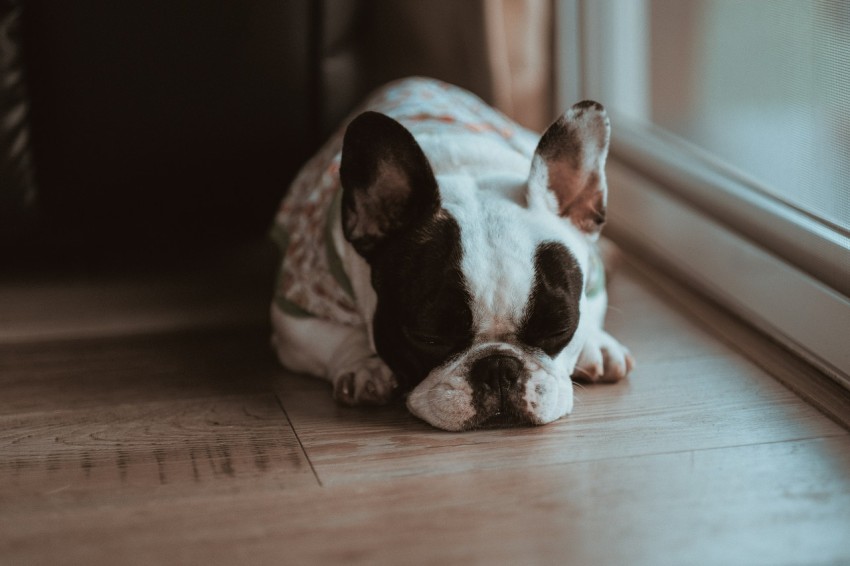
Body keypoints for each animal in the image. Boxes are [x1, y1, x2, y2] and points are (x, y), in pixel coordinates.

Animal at [270, 77, 628, 432]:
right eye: (428, 337)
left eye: (558, 329)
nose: (499, 367)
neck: (466, 170)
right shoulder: (294, 314)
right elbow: (333, 337)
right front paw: (364, 365)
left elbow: (592, 309)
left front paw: (595, 344)